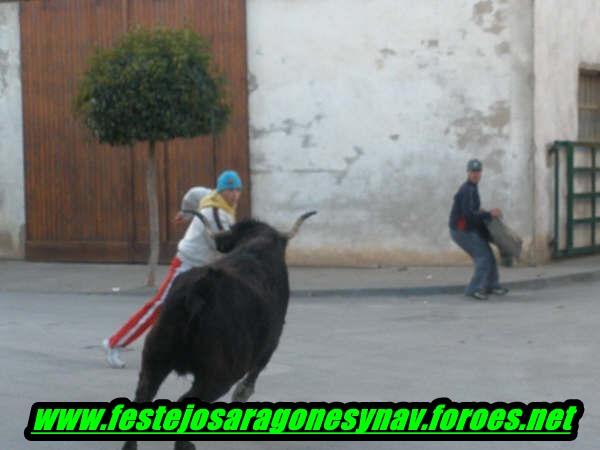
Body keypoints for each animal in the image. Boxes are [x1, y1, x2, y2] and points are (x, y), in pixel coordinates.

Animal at [123, 211, 316, 450]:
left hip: (154, 360)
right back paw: (185, 444)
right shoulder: (269, 346)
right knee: (187, 400)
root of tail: (198, 290)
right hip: (220, 375)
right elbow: (250, 380)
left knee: (142, 396)